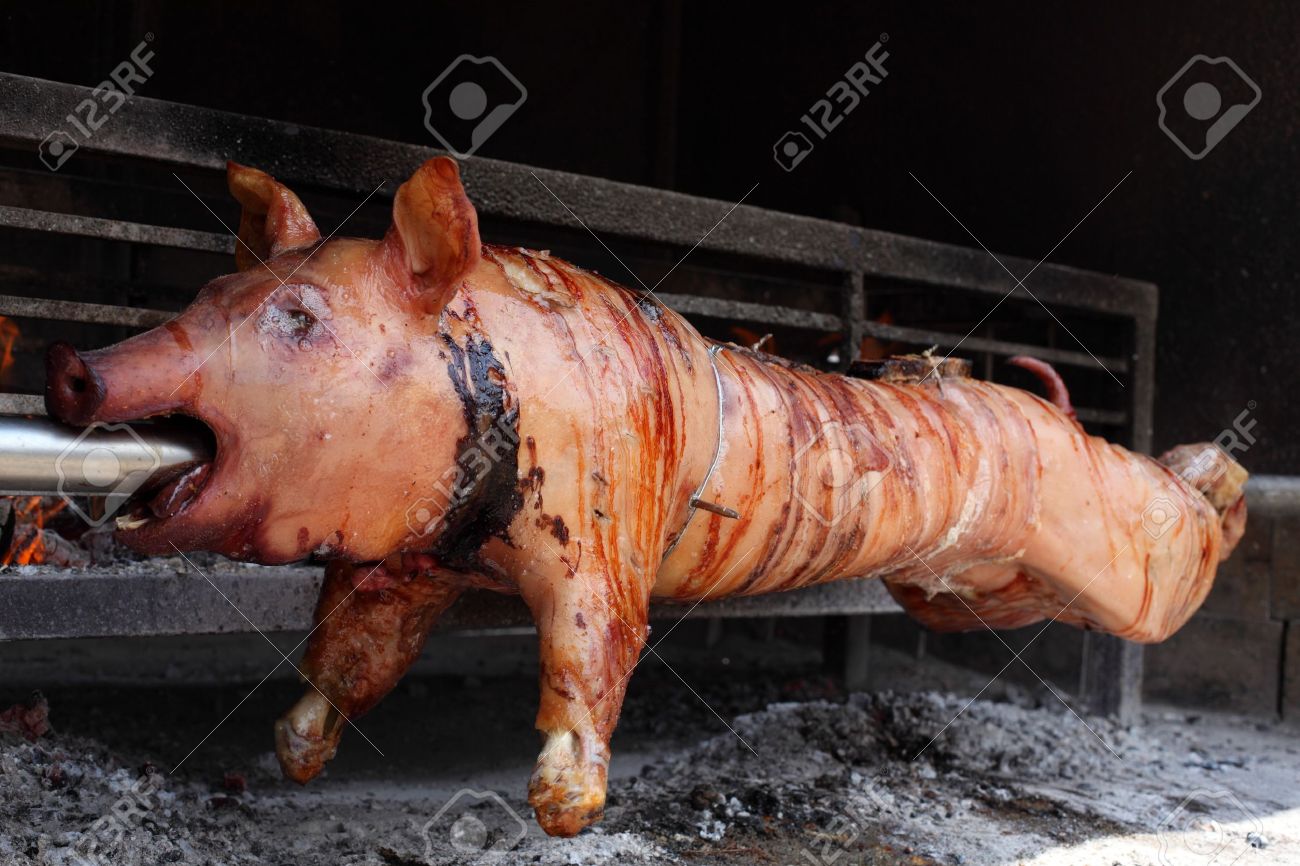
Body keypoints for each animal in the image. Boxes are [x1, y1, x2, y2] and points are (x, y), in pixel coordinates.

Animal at [44, 157, 1247, 837]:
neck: (493, 371)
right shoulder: (407, 555)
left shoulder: (600, 529)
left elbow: (594, 650)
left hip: (1095, 520)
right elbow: (350, 653)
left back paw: (1224, 474)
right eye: (211, 288)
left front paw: (563, 806)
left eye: (298, 318)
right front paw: (295, 749)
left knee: (1169, 552)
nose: (75, 372)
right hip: (975, 572)